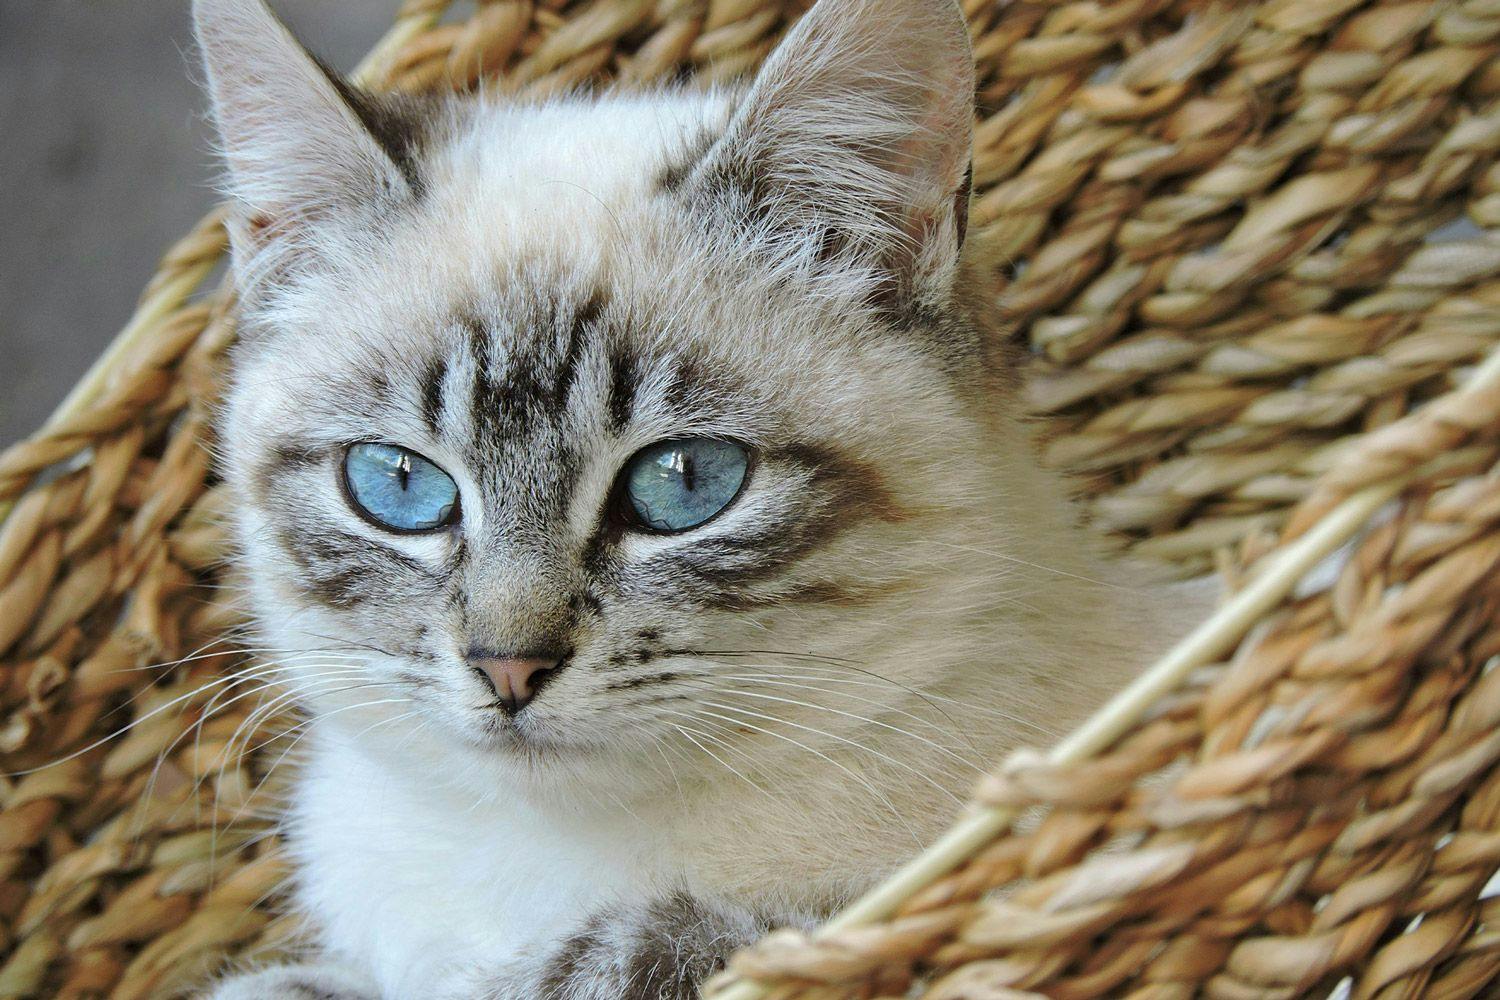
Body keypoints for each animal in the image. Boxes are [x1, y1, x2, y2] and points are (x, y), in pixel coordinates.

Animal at [193, 0, 1206, 995]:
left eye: (684, 483)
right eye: (400, 484)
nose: (507, 669)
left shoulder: (856, 905)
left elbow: (630, 954)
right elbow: (289, 985)